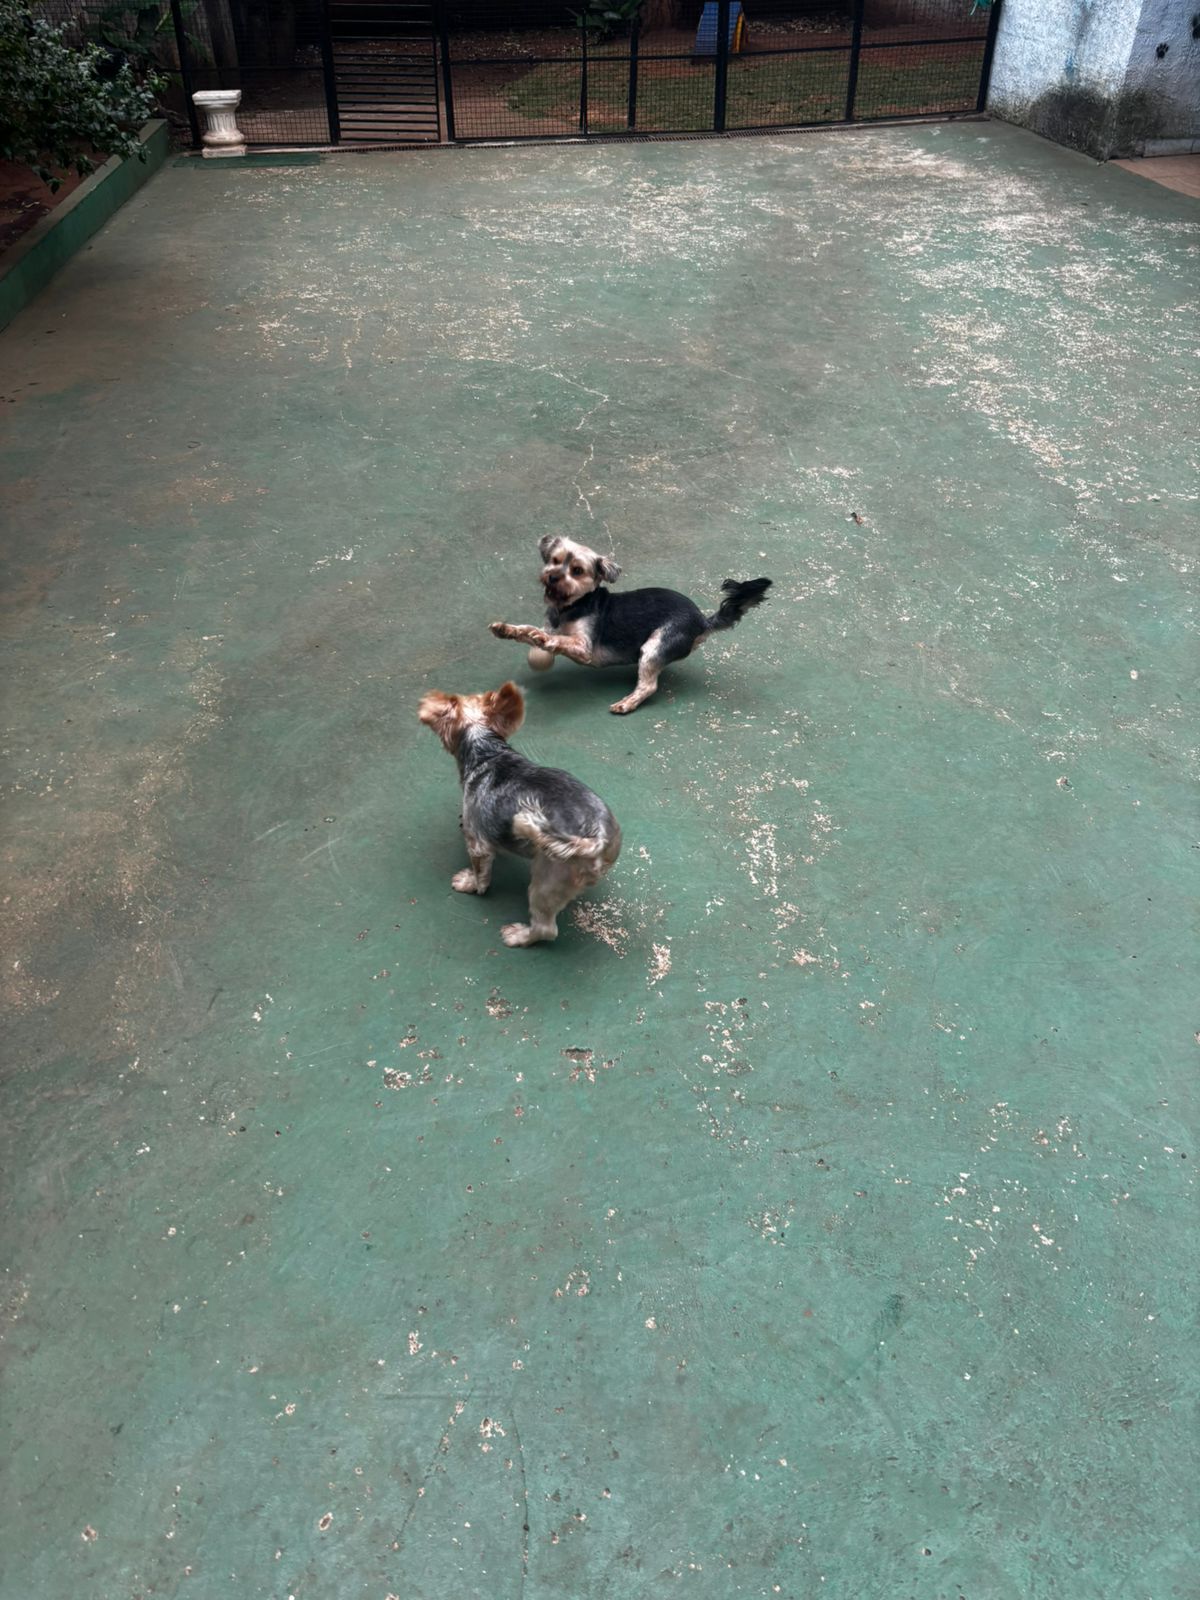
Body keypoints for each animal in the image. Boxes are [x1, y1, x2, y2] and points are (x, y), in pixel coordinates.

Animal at [418, 680, 621, 948]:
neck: (487, 752)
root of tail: (597, 839)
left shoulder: (478, 845)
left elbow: (480, 873)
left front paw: (470, 884)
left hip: (547, 877)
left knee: (546, 929)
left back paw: (518, 935)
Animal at [489, 536, 772, 714]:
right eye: (554, 561)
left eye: (577, 571)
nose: (553, 577)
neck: (571, 607)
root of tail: (702, 620)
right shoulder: (550, 624)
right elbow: (528, 631)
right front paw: (506, 629)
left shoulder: (583, 647)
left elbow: (556, 639)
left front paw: (545, 641)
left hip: (655, 645)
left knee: (649, 685)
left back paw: (627, 703)